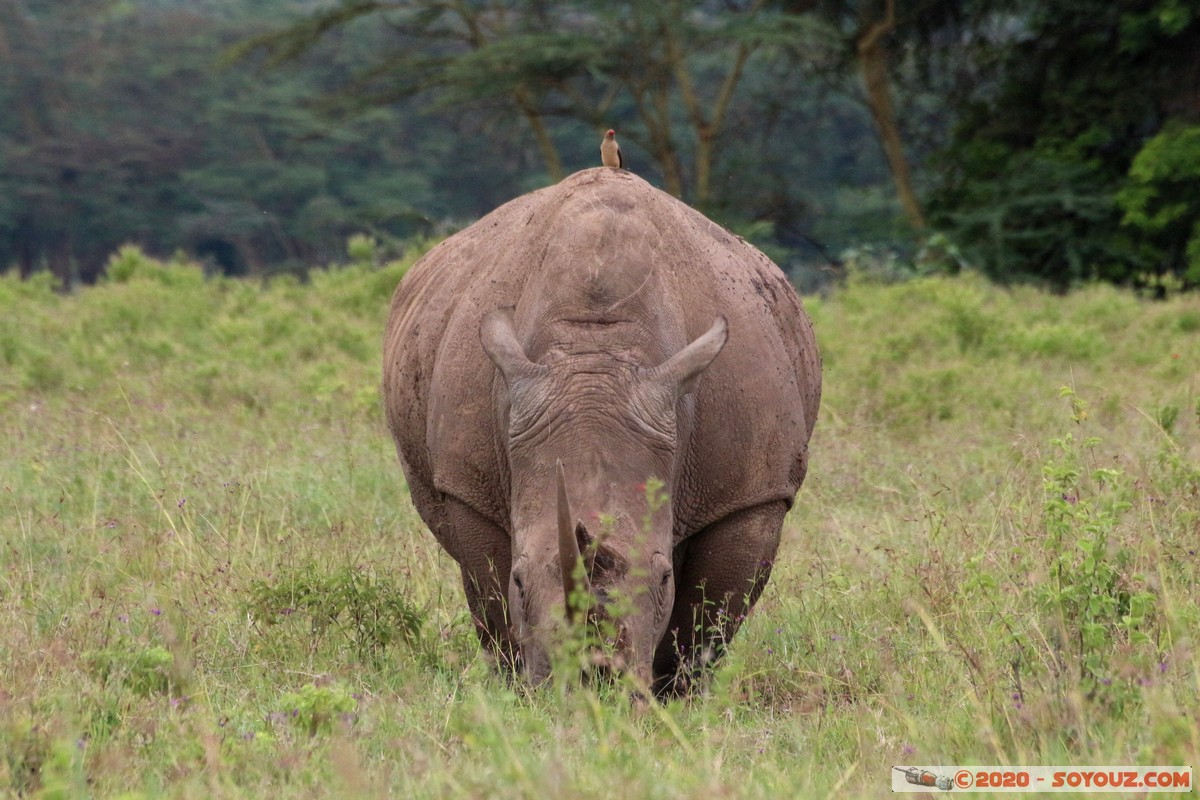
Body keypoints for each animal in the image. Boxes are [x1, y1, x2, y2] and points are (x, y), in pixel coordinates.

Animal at [383, 168, 820, 694]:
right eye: (520, 582)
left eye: (663, 579)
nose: (595, 679)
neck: (597, 351)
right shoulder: (468, 486)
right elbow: (491, 602)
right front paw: (517, 693)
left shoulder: (749, 491)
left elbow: (708, 617)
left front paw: (673, 698)